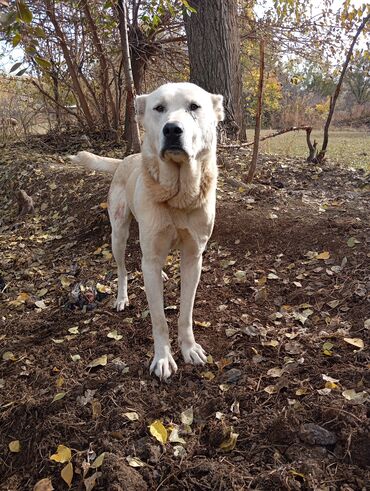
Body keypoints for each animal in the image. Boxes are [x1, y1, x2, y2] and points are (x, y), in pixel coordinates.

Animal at [70, 83, 224, 380]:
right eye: (159, 108)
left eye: (194, 107)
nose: (172, 129)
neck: (177, 195)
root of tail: (124, 160)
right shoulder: (150, 256)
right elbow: (159, 318)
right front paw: (163, 358)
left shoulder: (193, 258)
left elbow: (185, 313)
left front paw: (189, 349)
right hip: (118, 234)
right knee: (123, 268)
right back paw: (122, 296)